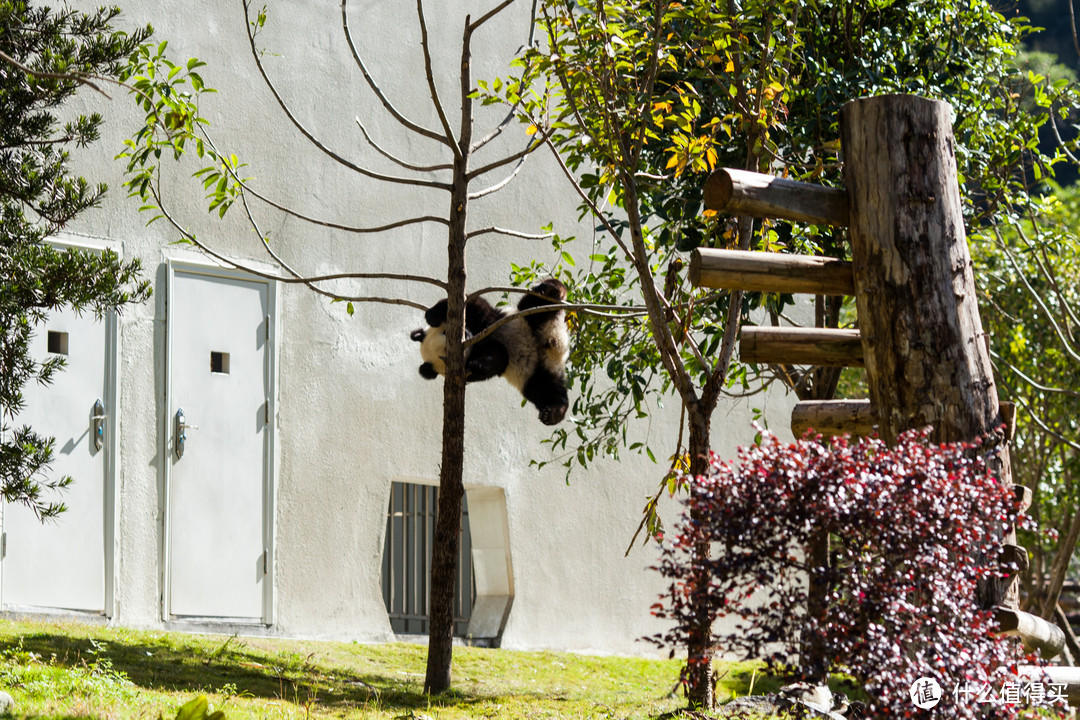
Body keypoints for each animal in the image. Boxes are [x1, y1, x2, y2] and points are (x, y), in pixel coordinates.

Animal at [406, 278, 574, 425]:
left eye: (446, 333)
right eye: (446, 350)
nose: (466, 334)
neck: (475, 341)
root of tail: (555, 347)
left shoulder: (488, 323)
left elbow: (474, 306)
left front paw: (432, 316)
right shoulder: (475, 360)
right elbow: (497, 358)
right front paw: (478, 364)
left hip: (527, 318)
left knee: (535, 303)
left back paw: (552, 289)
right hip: (535, 373)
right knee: (545, 390)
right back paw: (553, 412)